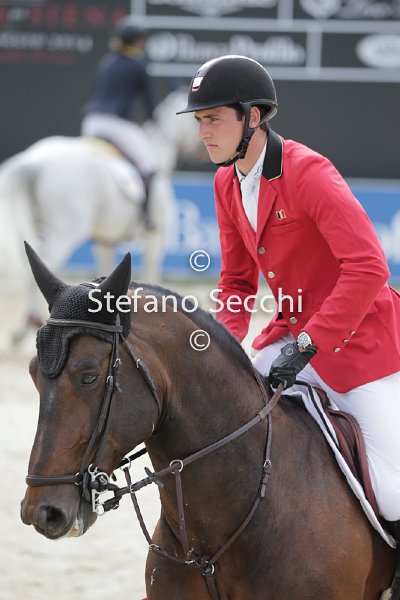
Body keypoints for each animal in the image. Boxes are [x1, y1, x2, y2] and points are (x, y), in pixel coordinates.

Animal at [0, 88, 200, 342]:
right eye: (195, 120)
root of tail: (34, 162)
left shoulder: (104, 241)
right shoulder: (155, 235)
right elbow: (153, 270)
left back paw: (23, 327)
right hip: (67, 230)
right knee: (46, 261)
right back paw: (30, 322)